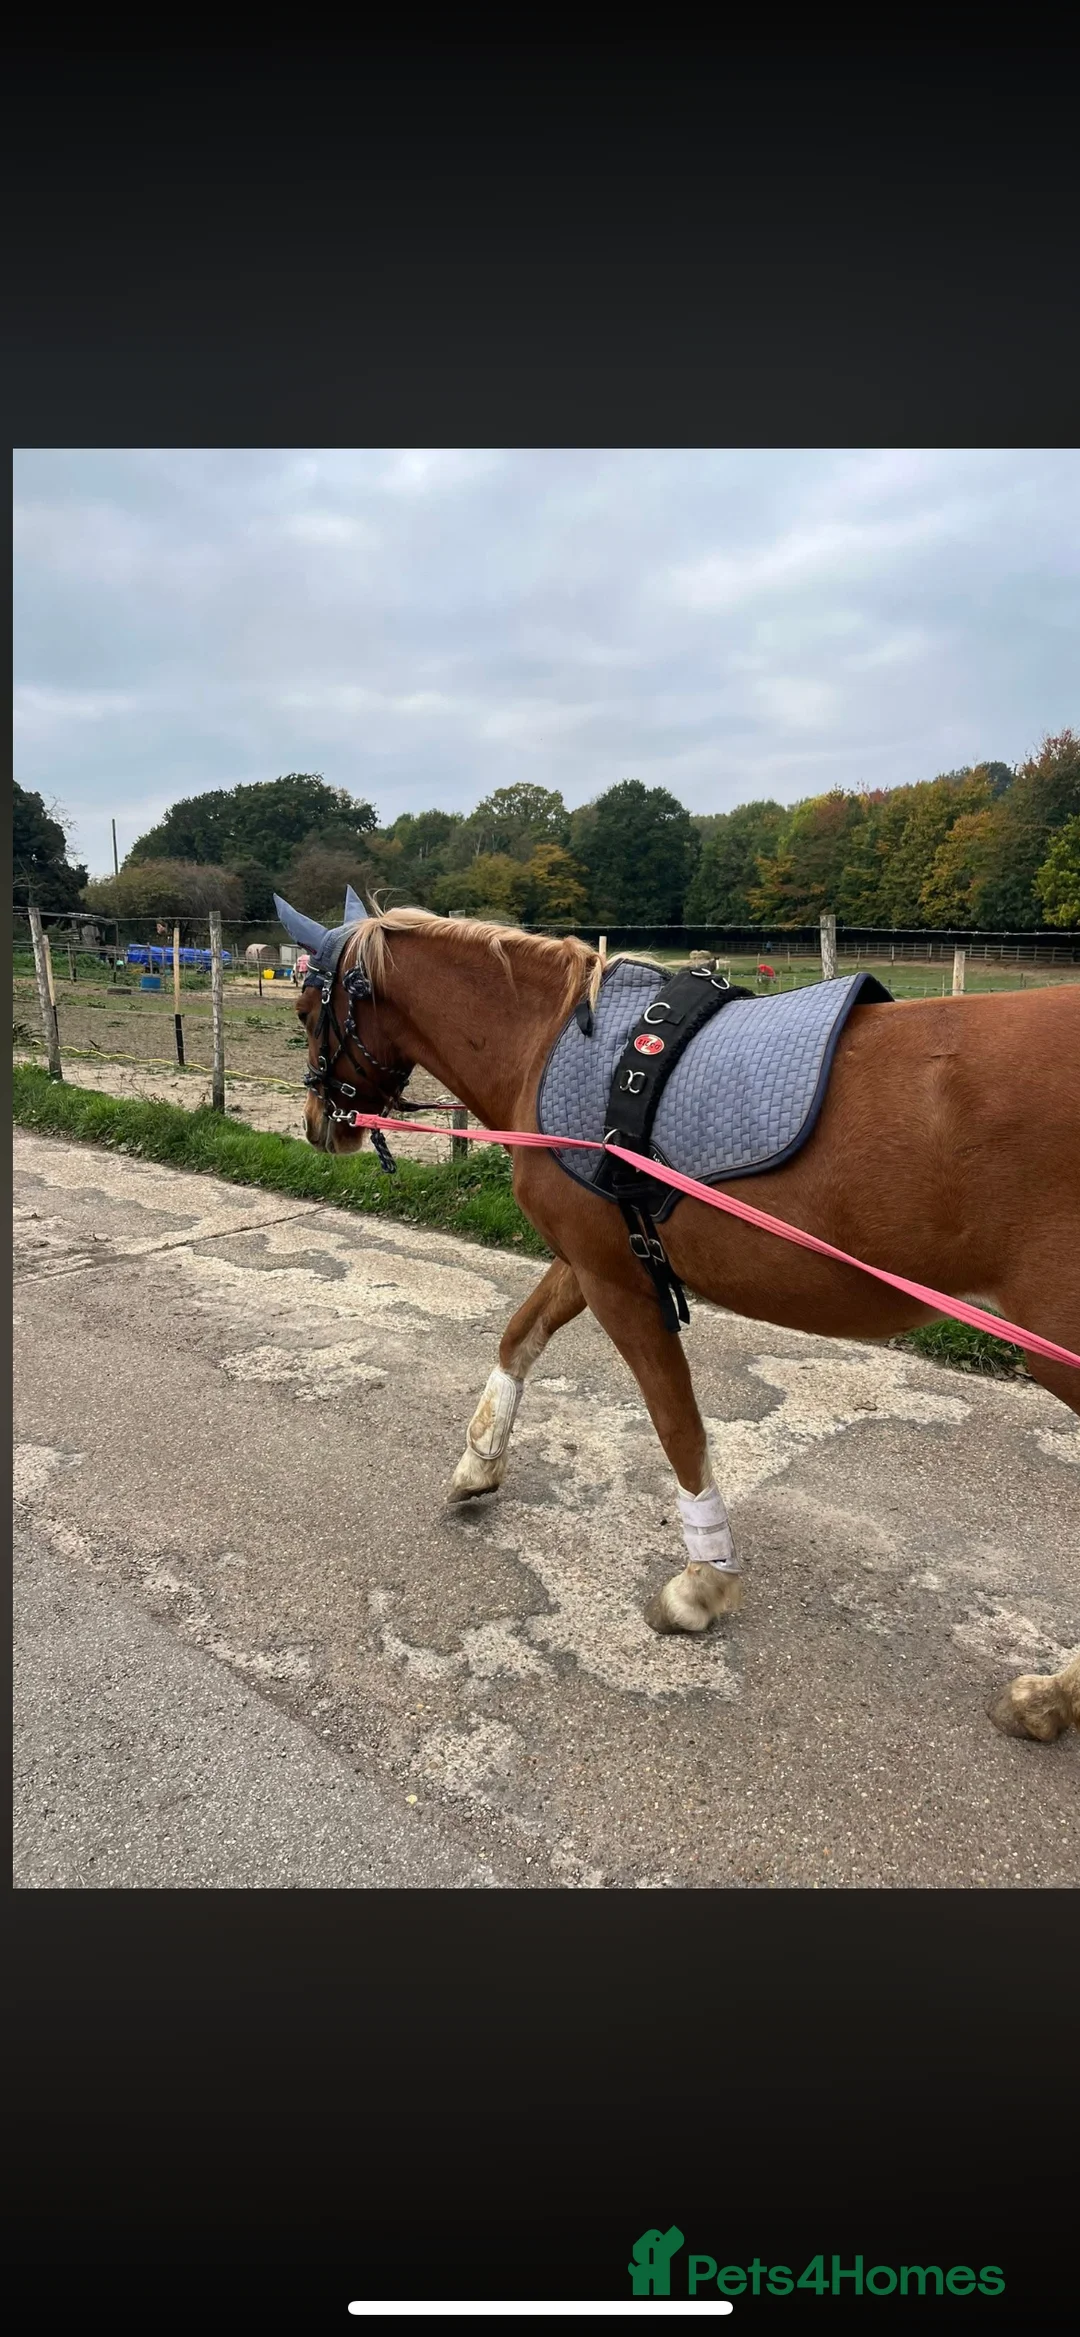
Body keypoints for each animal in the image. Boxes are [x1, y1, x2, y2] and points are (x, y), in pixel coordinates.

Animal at [287, 902, 1080, 1744]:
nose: (316, 1121)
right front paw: (480, 1462)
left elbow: (679, 1429)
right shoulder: (595, 1260)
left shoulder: (618, 1286)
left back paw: (1050, 1695)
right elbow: (518, 1337)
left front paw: (702, 1582)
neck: (551, 1041)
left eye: (306, 1011)